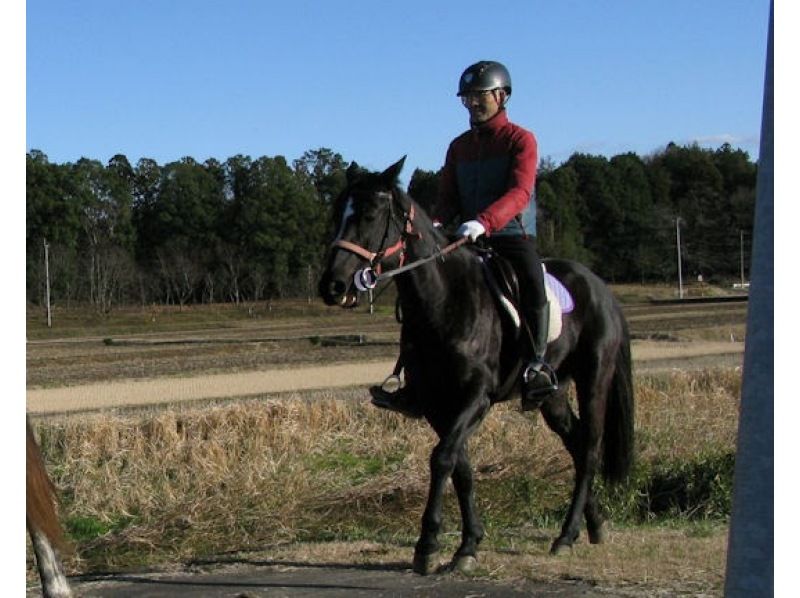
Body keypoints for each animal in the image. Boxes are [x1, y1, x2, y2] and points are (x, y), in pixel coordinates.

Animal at [316, 159, 636, 576]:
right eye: (338, 214)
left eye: (369, 214)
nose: (332, 286)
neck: (445, 301)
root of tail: (601, 288)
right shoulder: (437, 404)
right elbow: (461, 468)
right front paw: (468, 544)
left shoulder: (475, 398)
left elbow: (442, 459)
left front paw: (428, 544)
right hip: (553, 396)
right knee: (578, 445)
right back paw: (592, 524)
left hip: (594, 379)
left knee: (592, 448)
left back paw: (566, 535)